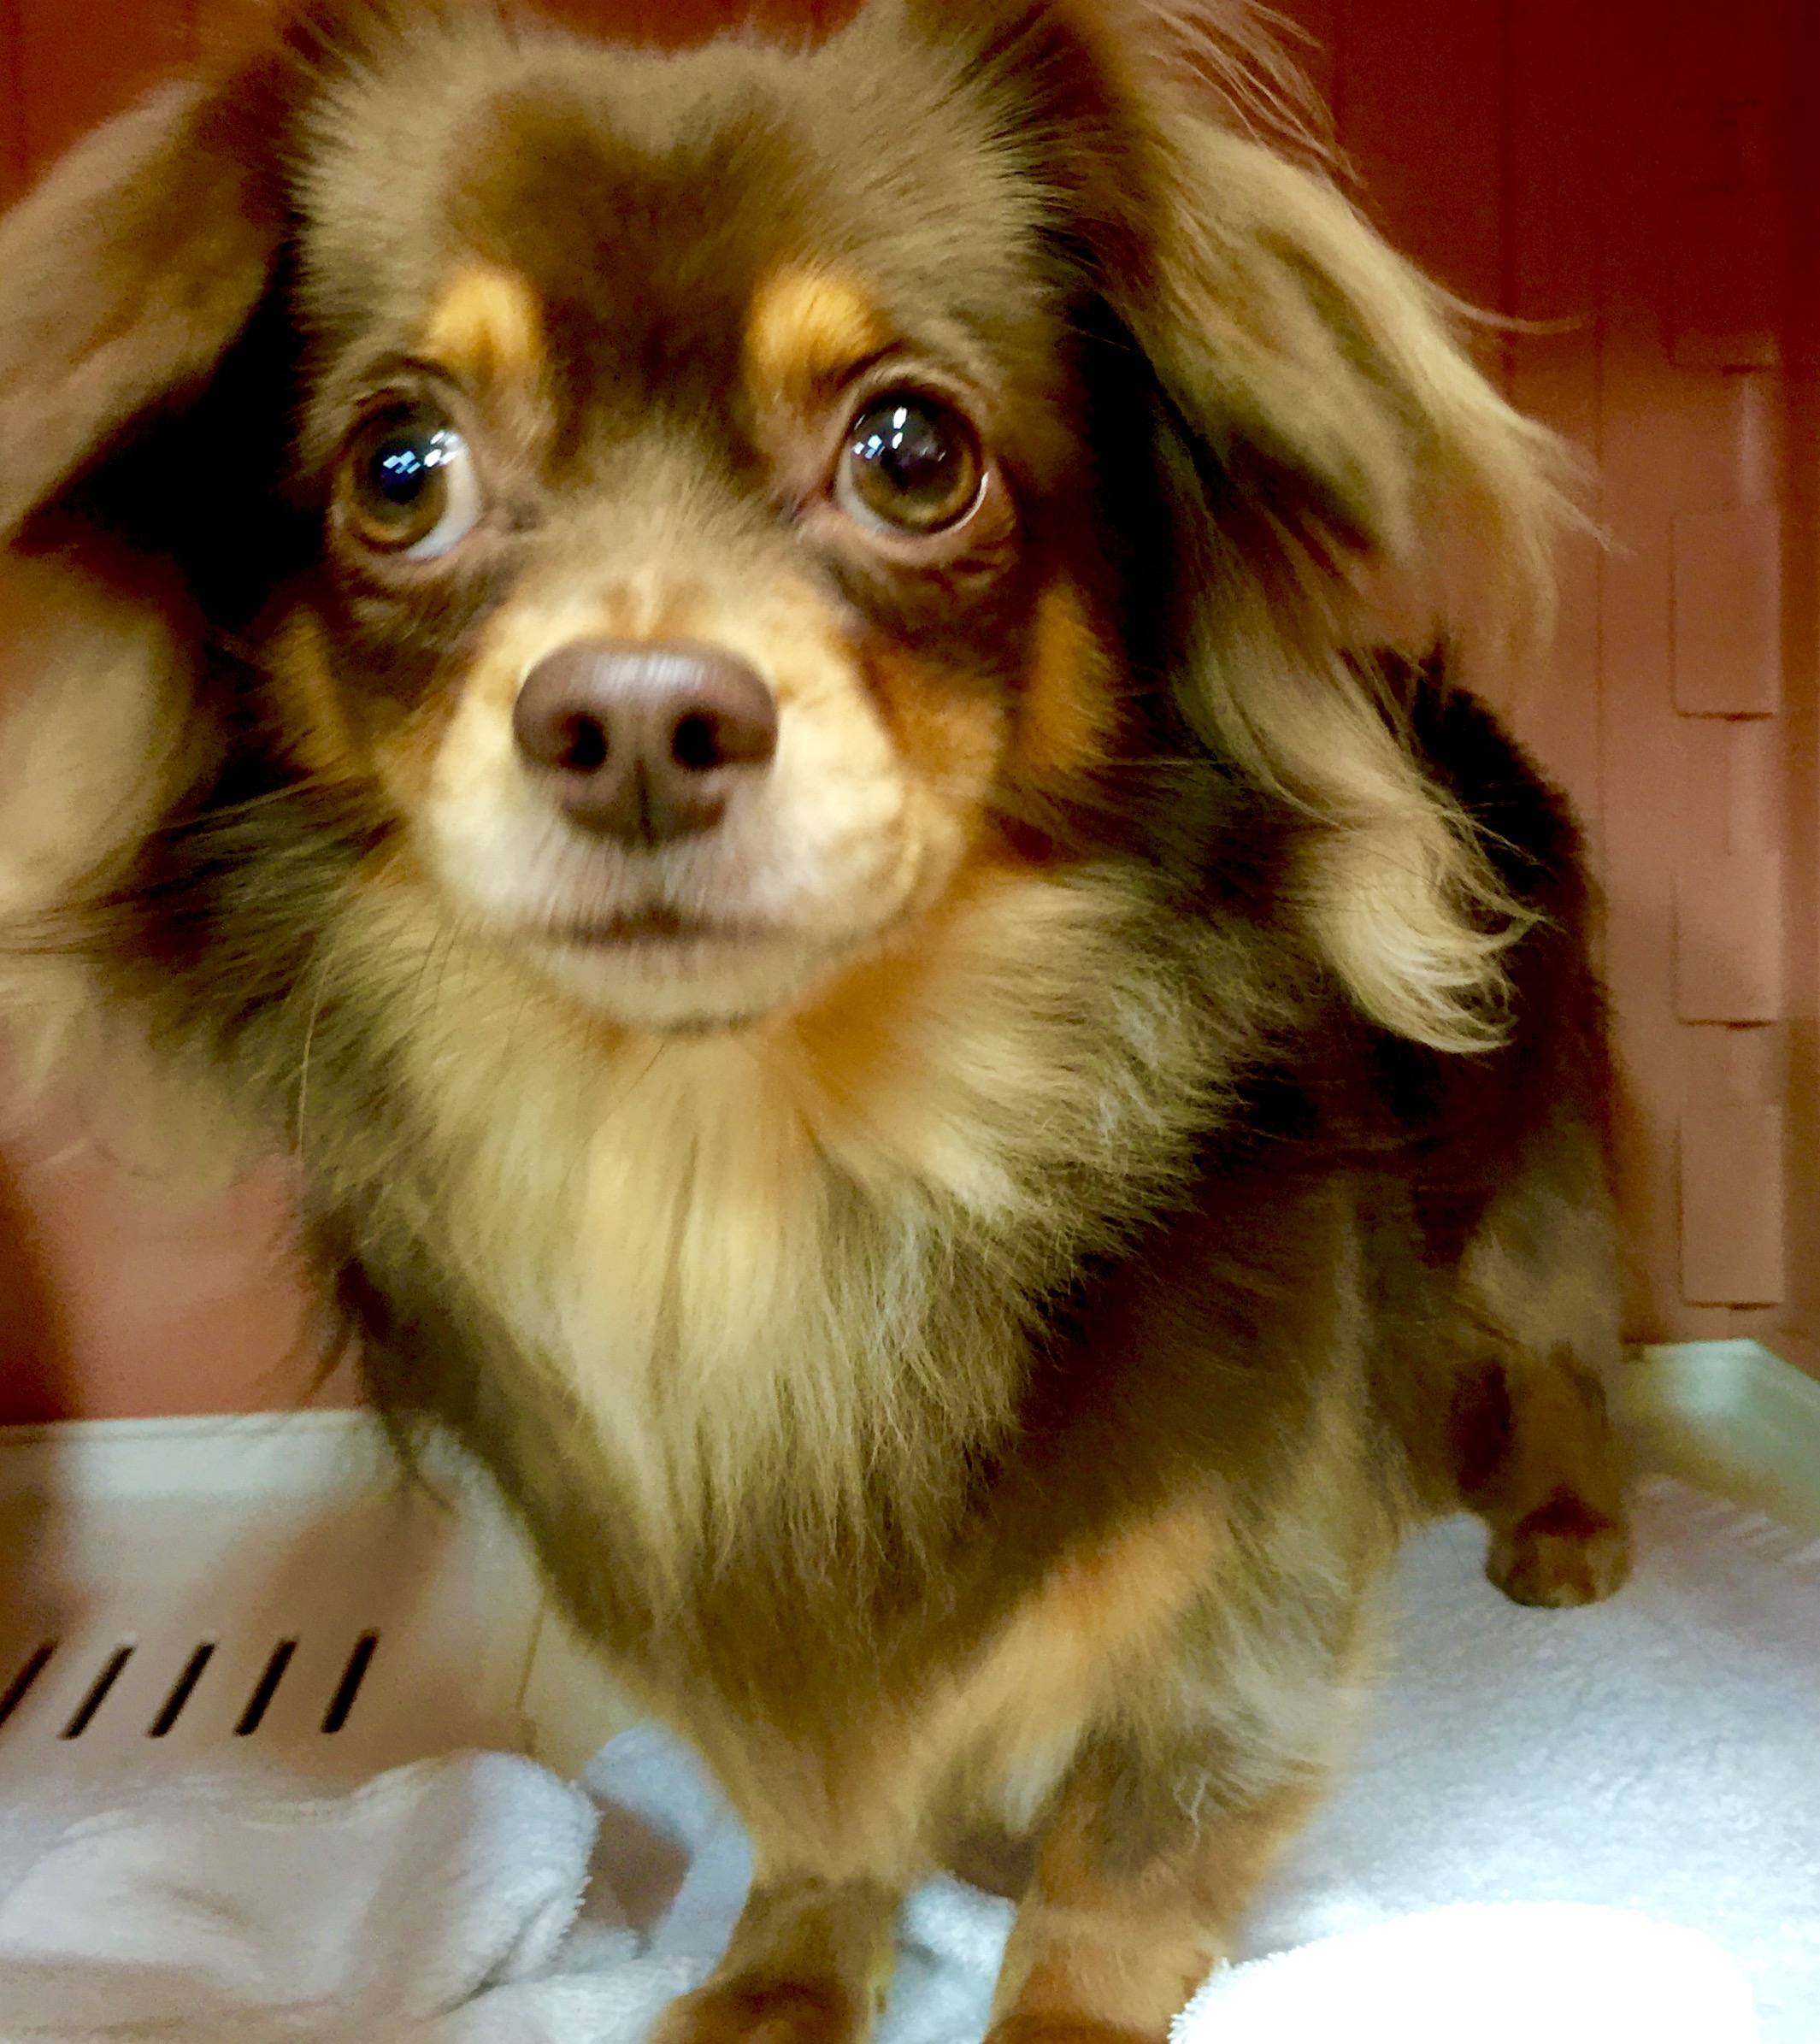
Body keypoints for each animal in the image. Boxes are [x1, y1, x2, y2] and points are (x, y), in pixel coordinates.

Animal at [0, 2, 1634, 2038]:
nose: (630, 718)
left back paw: (1563, 1524)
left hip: (1529, 1181)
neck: (759, 1173)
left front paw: (1059, 2008)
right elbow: (818, 1808)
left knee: (1560, 1345)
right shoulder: (699, 1606)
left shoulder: (1236, 1583)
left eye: (909, 451)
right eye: (398, 470)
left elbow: (1117, 1861)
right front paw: (781, 1973)